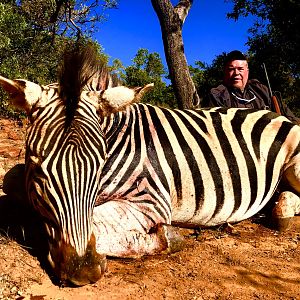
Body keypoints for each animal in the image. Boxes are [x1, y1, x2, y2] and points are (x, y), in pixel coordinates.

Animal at [0, 44, 300, 286]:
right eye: (37, 164)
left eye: (100, 163)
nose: (83, 271)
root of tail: (273, 112)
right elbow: (14, 186)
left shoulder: (150, 199)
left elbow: (95, 222)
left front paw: (167, 237)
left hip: (294, 162)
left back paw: (283, 212)